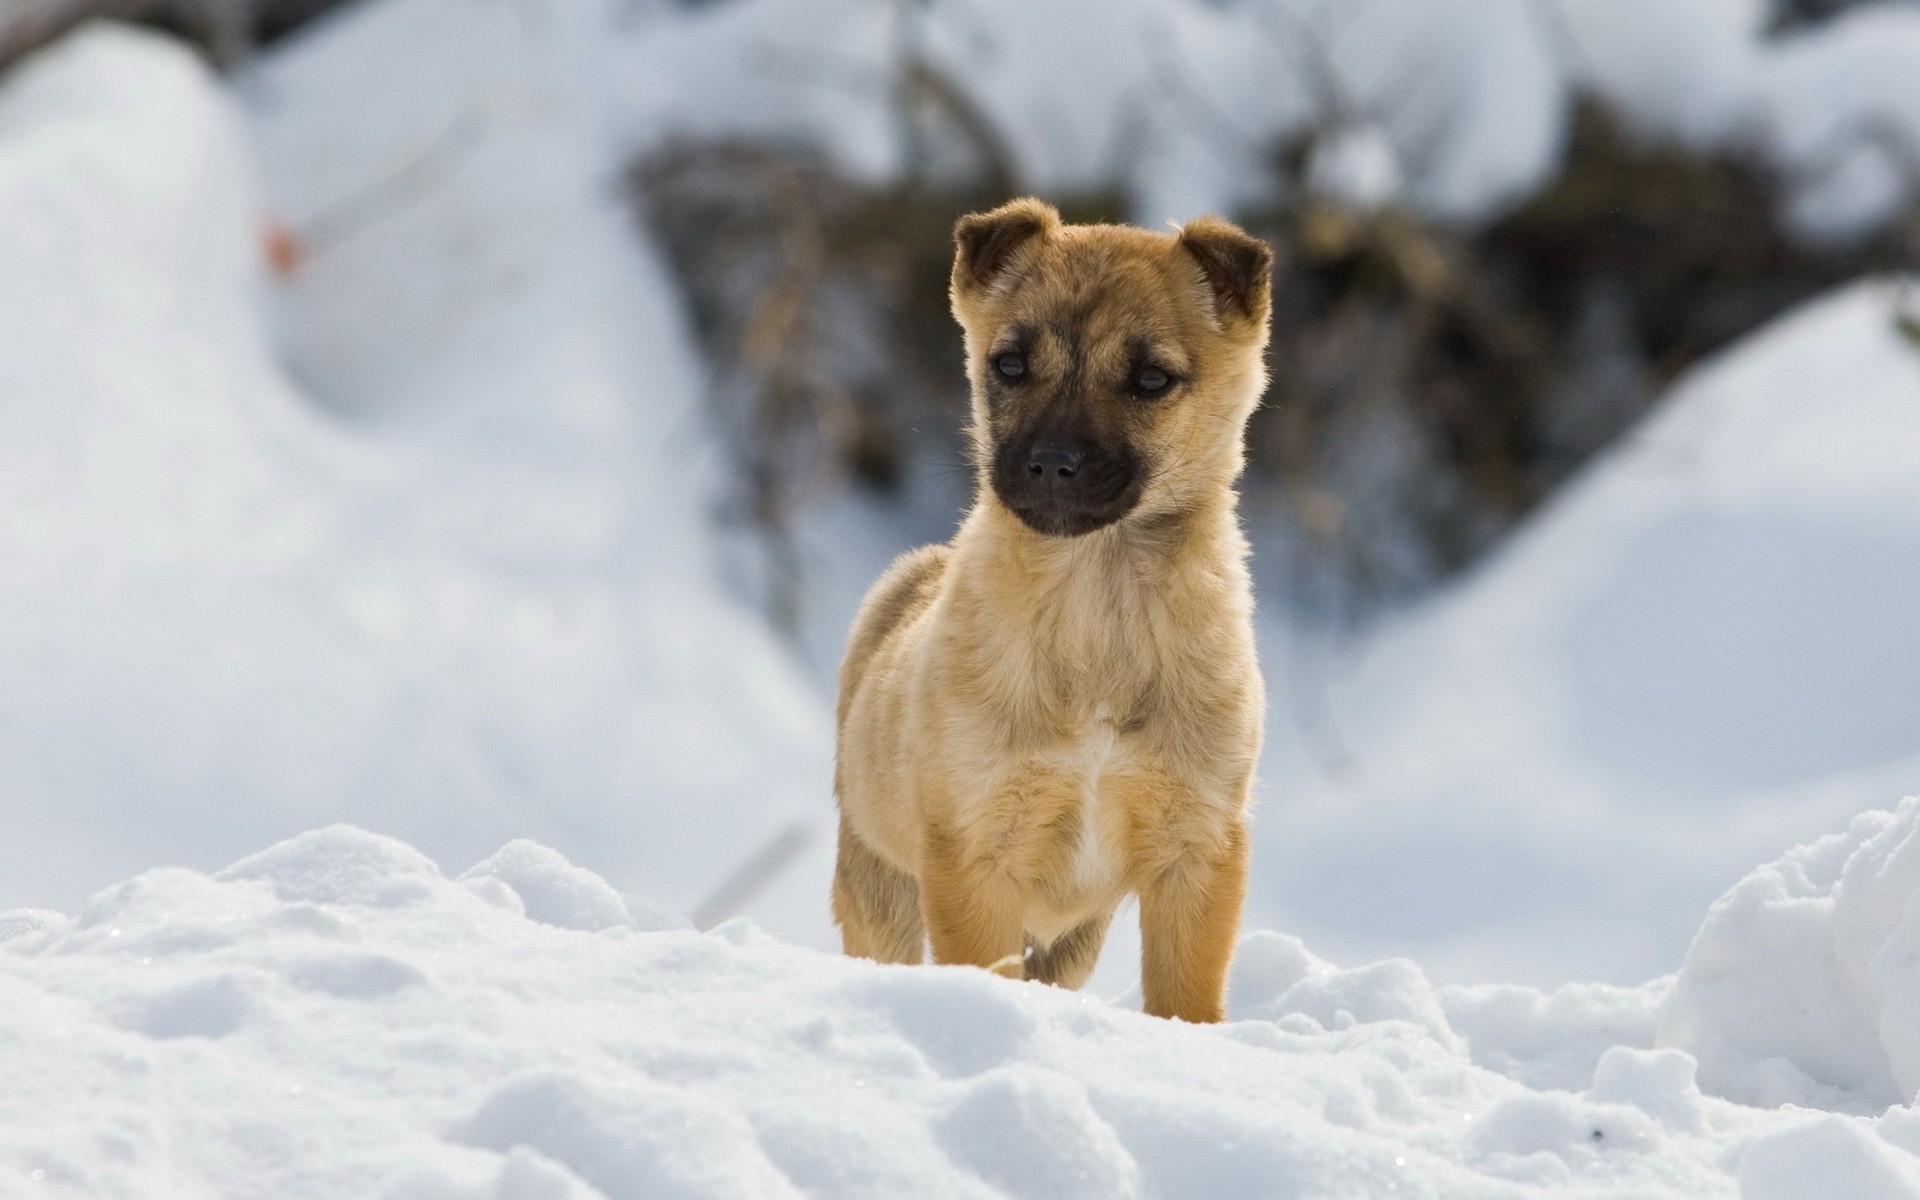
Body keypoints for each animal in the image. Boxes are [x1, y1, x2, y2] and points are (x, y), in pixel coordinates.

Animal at [829, 196, 1267, 1021]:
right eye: (1008, 365)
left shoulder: (1195, 848)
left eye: (1152, 378)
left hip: (1072, 942)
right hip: (879, 887)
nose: (1052, 465)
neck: (1096, 608)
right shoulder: (975, 853)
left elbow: (1185, 999)